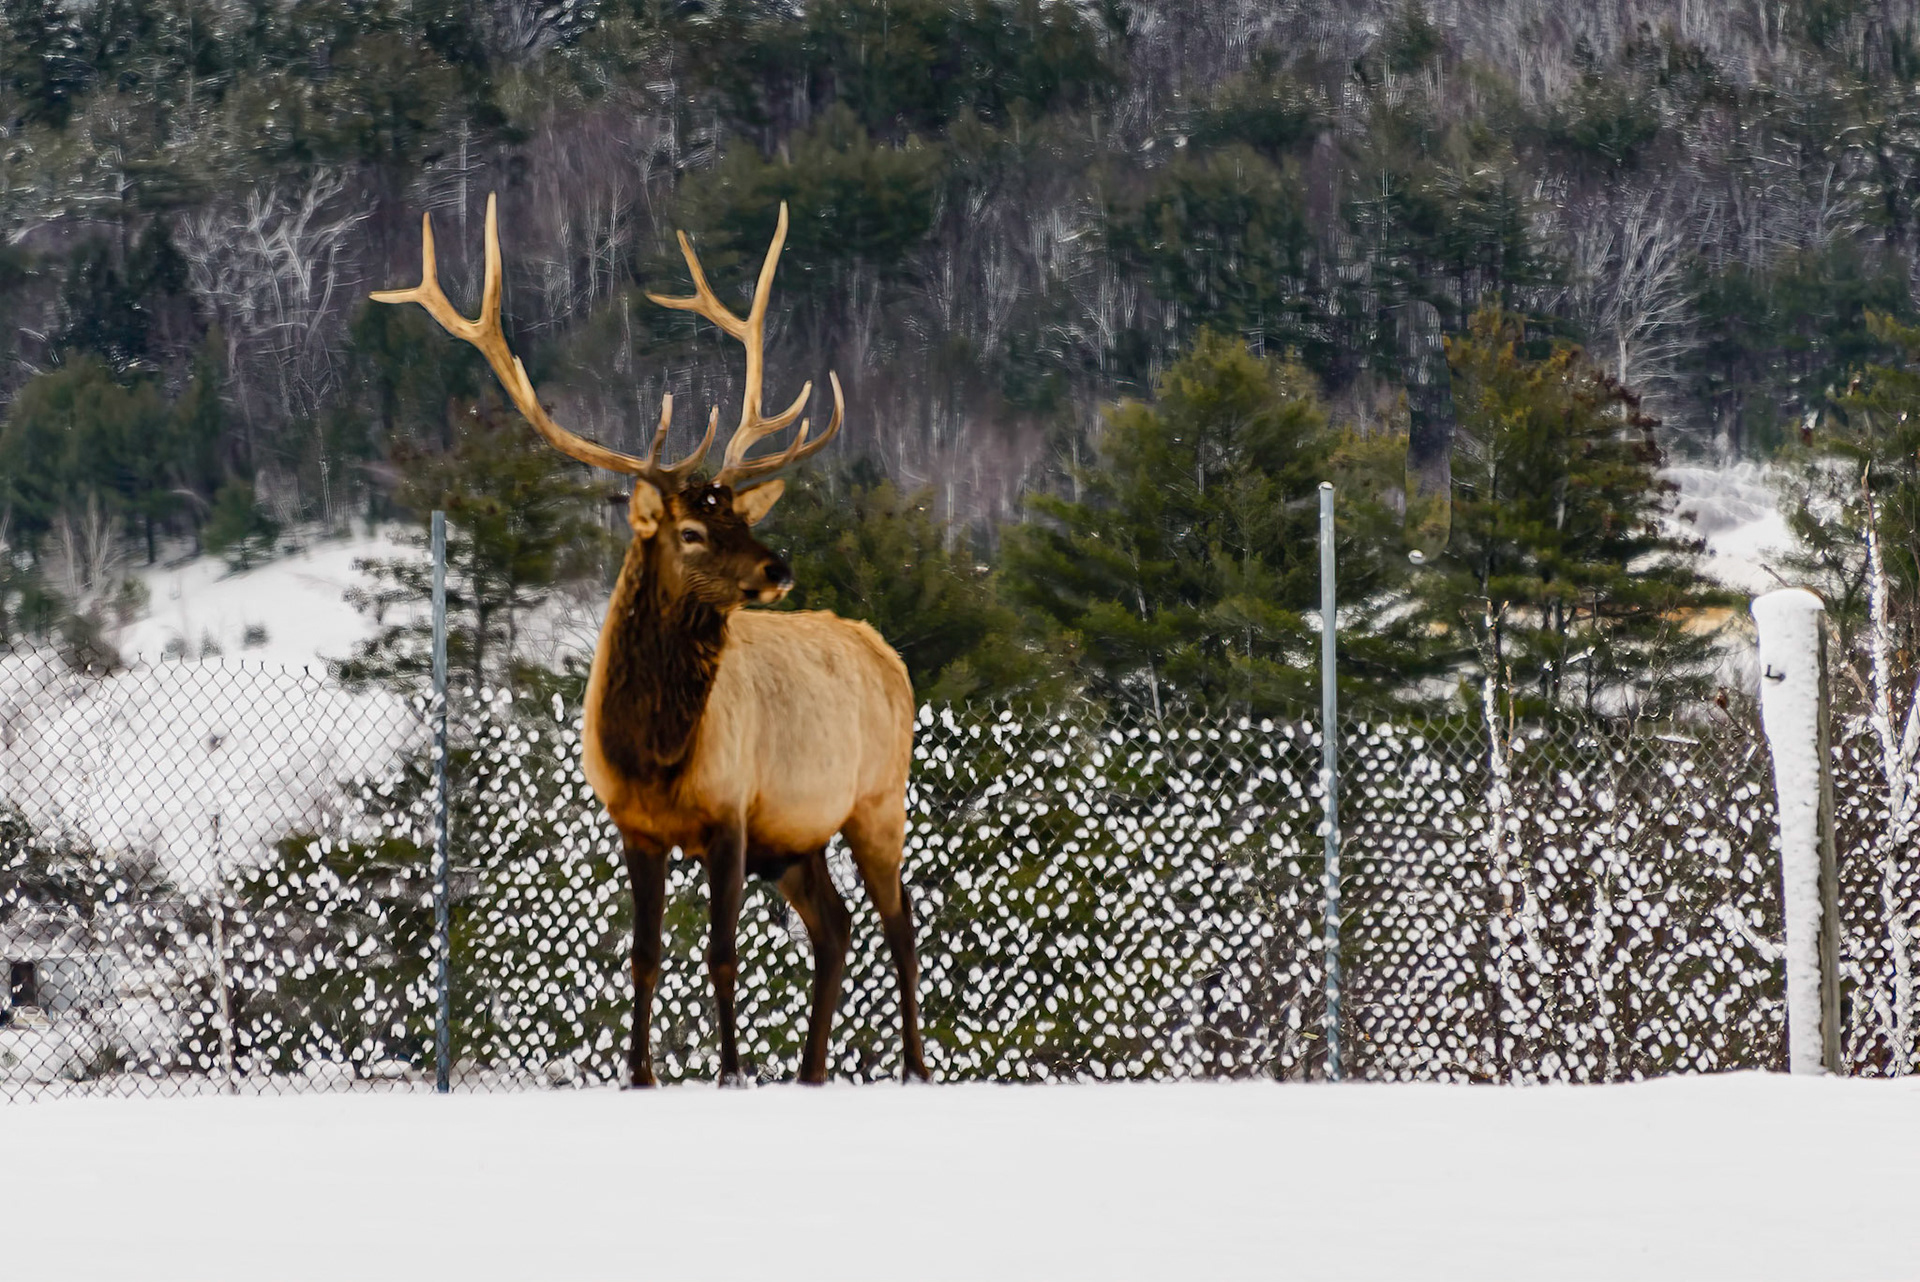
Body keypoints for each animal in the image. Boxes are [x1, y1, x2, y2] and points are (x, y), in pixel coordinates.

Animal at [373, 195, 928, 1087]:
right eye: (695, 530)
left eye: (741, 515)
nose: (778, 567)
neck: (656, 752)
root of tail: (891, 656)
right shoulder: (636, 826)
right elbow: (644, 956)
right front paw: (640, 1073)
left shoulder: (731, 813)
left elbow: (723, 954)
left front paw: (730, 1071)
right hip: (797, 838)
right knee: (837, 928)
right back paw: (810, 1072)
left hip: (878, 799)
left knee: (902, 923)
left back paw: (913, 1065)